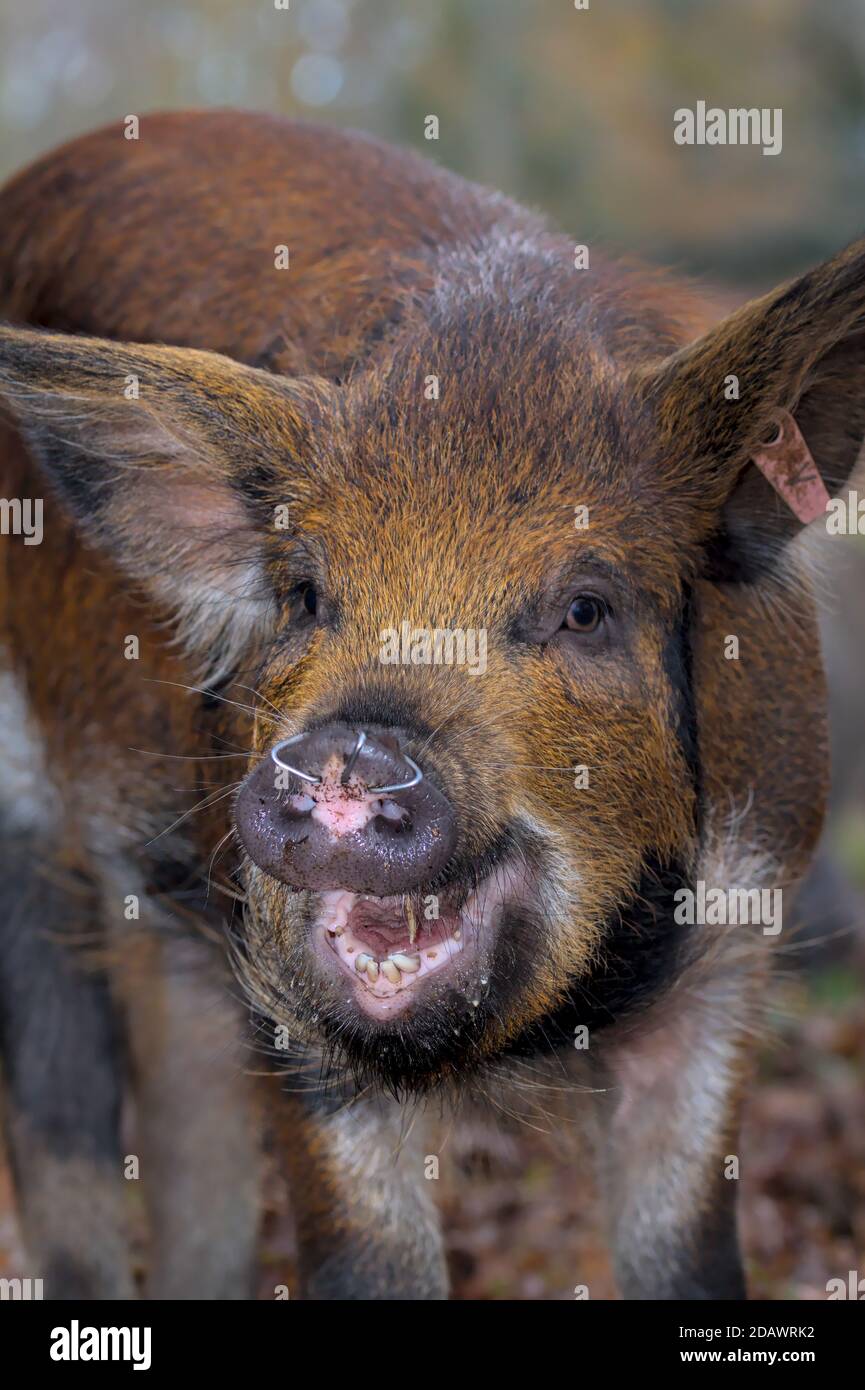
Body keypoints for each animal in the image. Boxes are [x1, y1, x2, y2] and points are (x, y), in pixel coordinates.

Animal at [0, 111, 862, 1301]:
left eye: (585, 610)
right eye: (306, 595)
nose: (349, 752)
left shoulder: (742, 926)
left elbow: (687, 1256)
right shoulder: (279, 994)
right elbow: (367, 1257)